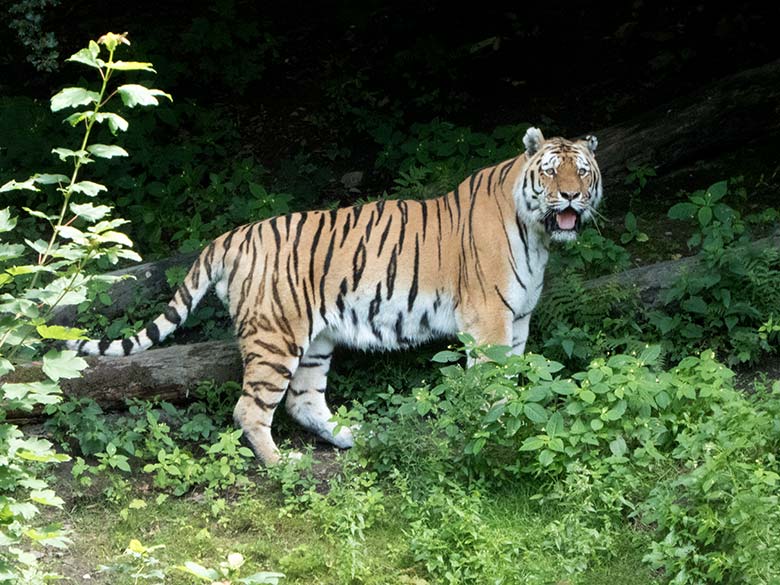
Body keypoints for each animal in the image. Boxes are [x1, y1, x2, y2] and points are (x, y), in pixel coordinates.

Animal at [70, 125, 604, 464]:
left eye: (582, 171)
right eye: (551, 172)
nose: (571, 196)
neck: (538, 235)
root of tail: (232, 235)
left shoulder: (518, 319)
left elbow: (518, 377)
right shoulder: (489, 319)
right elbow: (492, 384)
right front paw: (494, 428)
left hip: (316, 340)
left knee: (303, 402)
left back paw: (352, 438)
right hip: (275, 337)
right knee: (251, 408)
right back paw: (282, 465)